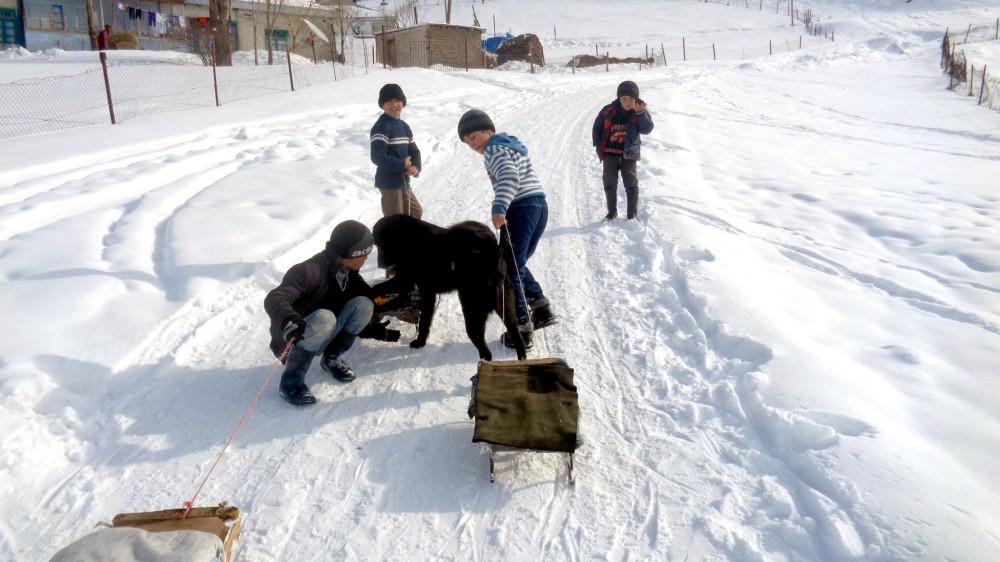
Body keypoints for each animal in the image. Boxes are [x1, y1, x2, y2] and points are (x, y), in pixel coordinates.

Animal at [372, 214, 528, 358]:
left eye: (381, 244)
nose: (380, 264)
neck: (409, 239)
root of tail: (492, 254)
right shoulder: (421, 289)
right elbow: (423, 319)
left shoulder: (411, 283)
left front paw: (419, 342)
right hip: (508, 311)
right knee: (519, 341)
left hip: (472, 314)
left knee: (486, 352)